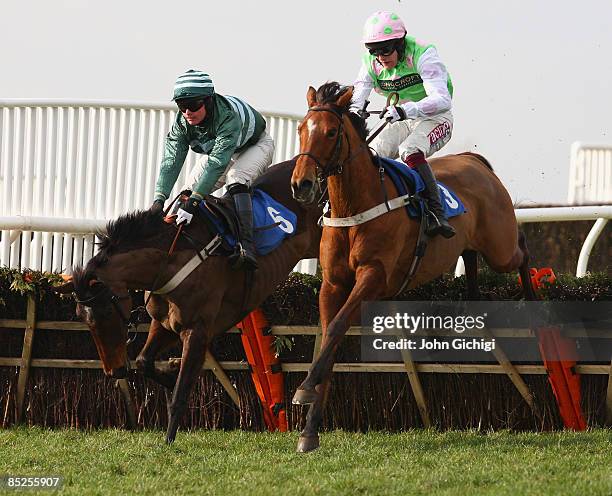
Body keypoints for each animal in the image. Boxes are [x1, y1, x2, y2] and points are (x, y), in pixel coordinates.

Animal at [55, 161, 322, 444]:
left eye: (106, 312)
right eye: (81, 317)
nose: (114, 371)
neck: (171, 260)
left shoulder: (197, 330)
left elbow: (180, 394)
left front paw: (168, 441)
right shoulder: (164, 323)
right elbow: (144, 361)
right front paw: (171, 372)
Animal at [290, 82, 532, 454]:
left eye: (331, 132)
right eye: (302, 129)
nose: (301, 184)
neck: (355, 207)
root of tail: (473, 161)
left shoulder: (374, 276)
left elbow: (337, 328)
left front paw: (304, 390)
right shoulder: (332, 284)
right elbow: (329, 339)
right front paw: (309, 430)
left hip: (500, 248)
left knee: (523, 246)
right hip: (477, 245)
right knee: (471, 258)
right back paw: (474, 296)